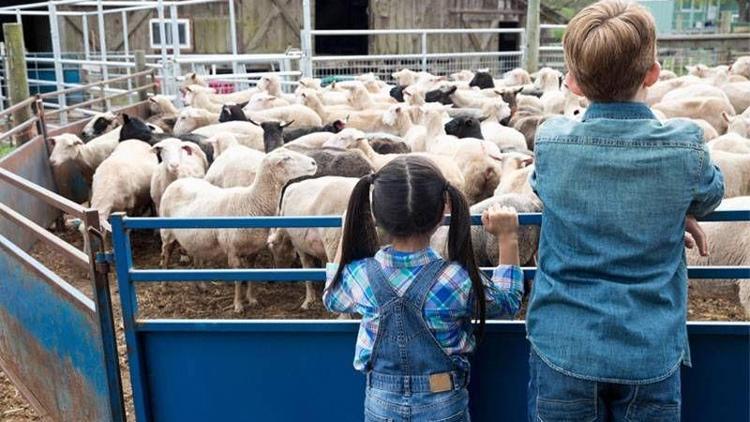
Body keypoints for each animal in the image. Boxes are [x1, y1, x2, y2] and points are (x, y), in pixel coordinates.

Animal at [160, 147, 318, 312]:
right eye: (286, 158)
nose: (313, 163)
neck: (251, 202)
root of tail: (179, 181)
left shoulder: (253, 250)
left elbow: (250, 274)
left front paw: (251, 299)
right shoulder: (233, 251)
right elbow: (237, 279)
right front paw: (238, 305)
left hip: (196, 238)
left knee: (196, 256)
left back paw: (201, 286)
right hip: (167, 233)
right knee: (165, 255)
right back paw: (164, 286)